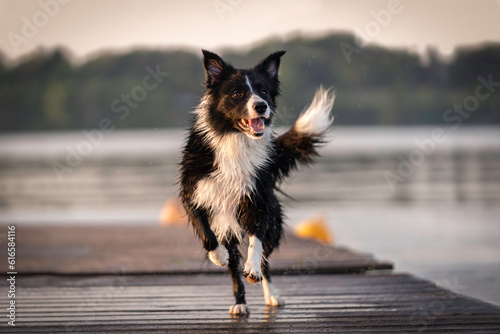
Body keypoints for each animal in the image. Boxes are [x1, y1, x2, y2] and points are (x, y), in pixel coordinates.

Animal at [180, 50, 336, 316]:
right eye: (237, 93)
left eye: (263, 91)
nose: (261, 106)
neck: (236, 139)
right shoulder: (193, 193)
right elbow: (208, 235)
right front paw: (218, 256)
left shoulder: (258, 200)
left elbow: (256, 242)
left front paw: (251, 269)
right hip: (229, 227)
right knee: (234, 269)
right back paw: (239, 302)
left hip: (273, 225)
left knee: (266, 262)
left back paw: (271, 294)